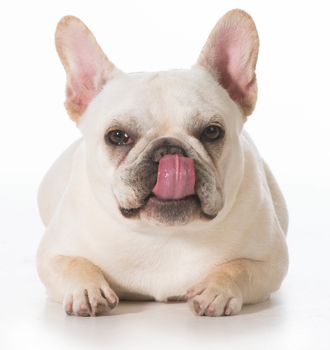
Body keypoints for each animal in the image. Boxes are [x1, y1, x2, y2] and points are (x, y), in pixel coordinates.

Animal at [37, 8, 288, 318]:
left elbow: (238, 267)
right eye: (117, 136)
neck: (165, 235)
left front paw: (216, 290)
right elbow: (73, 263)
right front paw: (87, 289)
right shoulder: (51, 254)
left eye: (212, 132)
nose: (170, 149)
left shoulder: (272, 262)